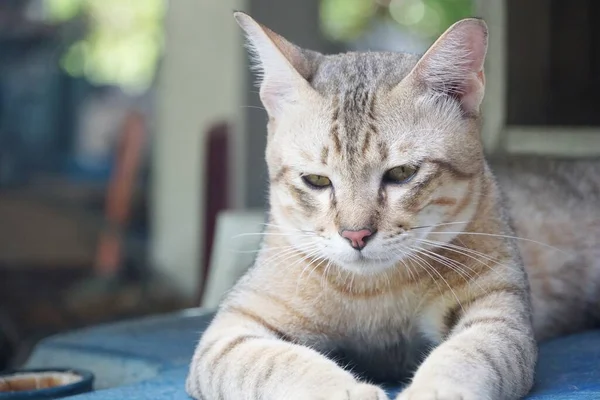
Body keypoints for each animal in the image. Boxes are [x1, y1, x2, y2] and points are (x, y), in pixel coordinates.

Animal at [188, 12, 600, 400]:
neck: (375, 291)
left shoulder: (499, 315)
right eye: (317, 180)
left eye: (401, 173)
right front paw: (343, 390)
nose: (356, 235)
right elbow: (278, 363)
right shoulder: (233, 331)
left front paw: (433, 390)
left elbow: (466, 354)